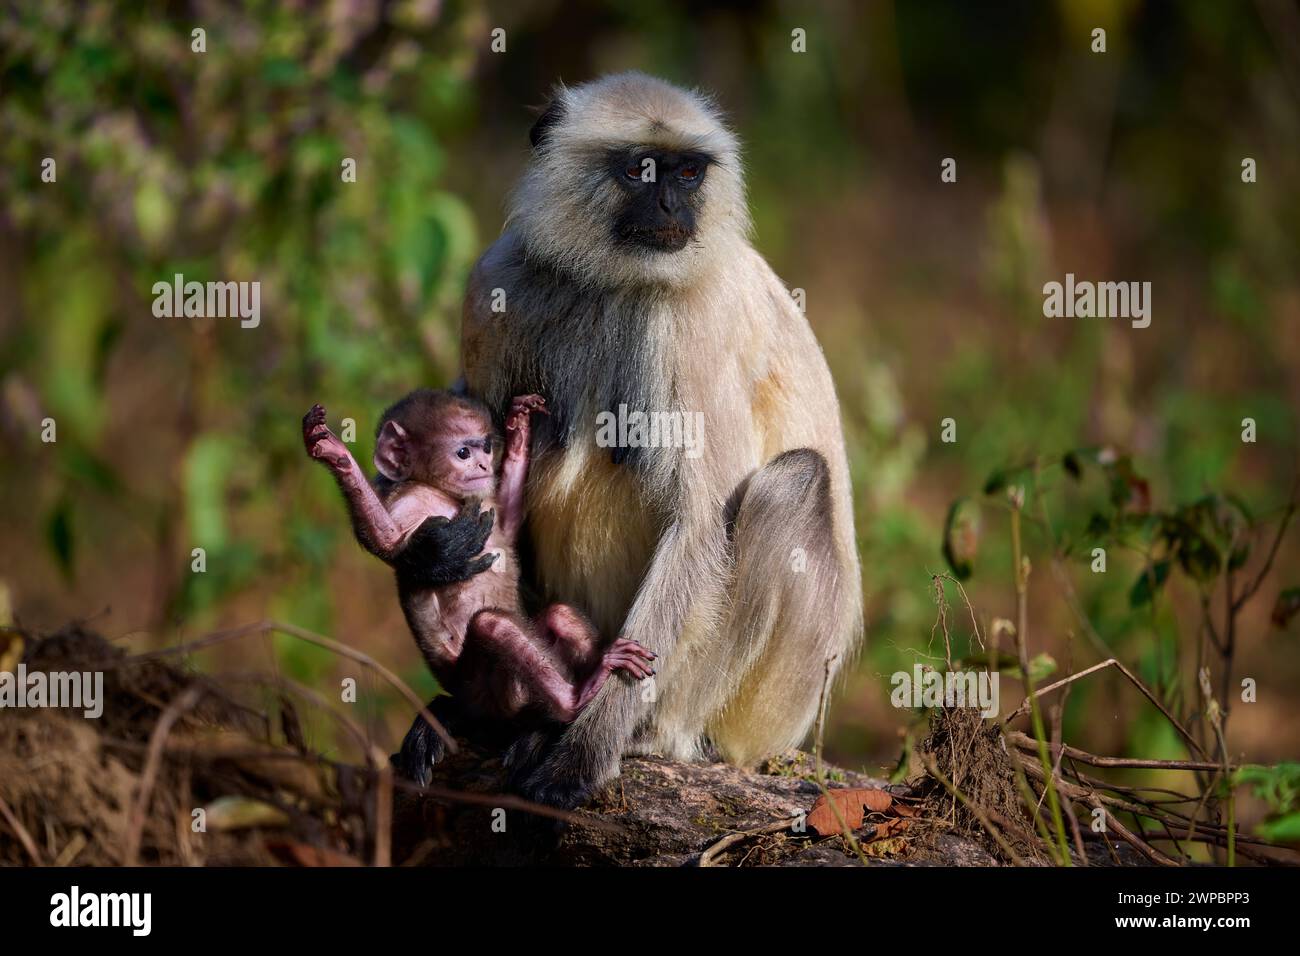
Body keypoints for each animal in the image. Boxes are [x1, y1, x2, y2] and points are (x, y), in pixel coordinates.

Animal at [300, 390, 655, 749]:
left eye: (485, 448)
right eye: (463, 453)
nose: (484, 464)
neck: (446, 494)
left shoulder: (485, 503)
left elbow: (509, 523)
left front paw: (518, 427)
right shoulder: (410, 500)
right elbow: (387, 540)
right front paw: (335, 453)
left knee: (560, 615)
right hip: (490, 693)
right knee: (491, 625)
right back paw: (576, 700)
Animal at [457, 72, 863, 806]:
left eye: (687, 171)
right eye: (640, 170)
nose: (673, 202)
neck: (614, 282)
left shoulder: (690, 319)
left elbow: (700, 528)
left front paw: (580, 755)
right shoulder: (498, 283)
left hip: (776, 703)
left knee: (791, 485)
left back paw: (650, 734)